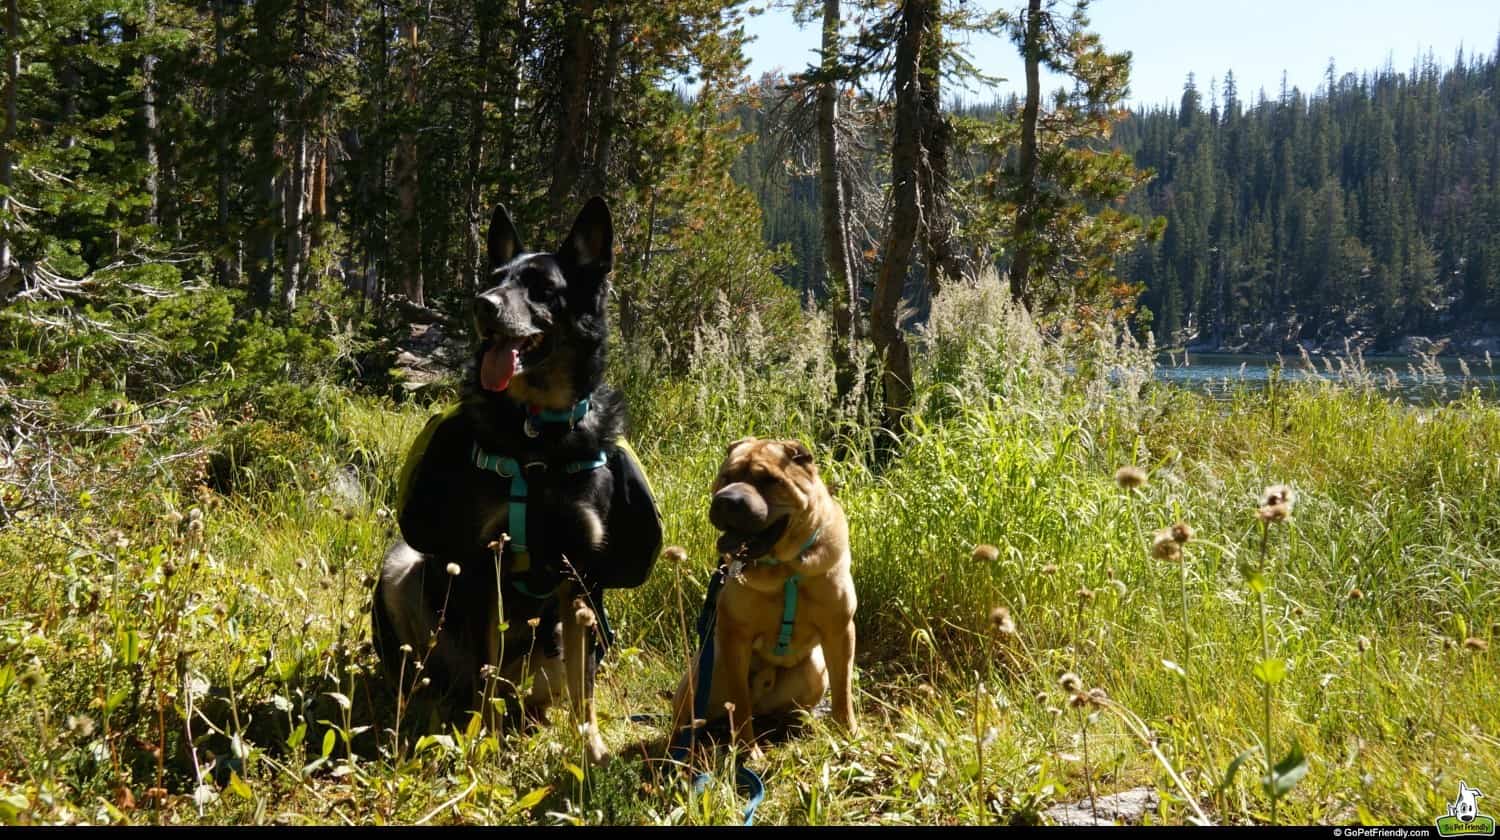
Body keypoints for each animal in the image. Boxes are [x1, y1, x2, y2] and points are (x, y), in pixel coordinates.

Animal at [372, 196, 660, 762]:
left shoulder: (580, 574)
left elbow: (584, 689)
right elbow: (488, 660)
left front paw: (590, 748)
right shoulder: (486, 562)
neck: (538, 438)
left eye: (542, 287)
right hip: (402, 568)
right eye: (494, 278)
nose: (481, 305)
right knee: (439, 679)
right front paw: (481, 741)